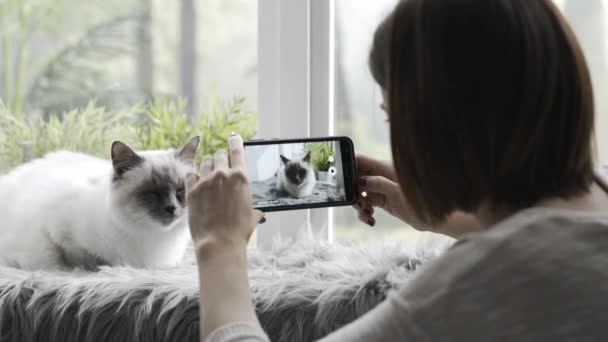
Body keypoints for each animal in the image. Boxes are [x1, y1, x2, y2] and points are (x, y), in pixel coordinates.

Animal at [0, 136, 201, 270]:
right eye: (151, 193)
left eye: (180, 191)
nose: (171, 208)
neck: (153, 238)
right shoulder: (59, 233)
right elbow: (82, 258)